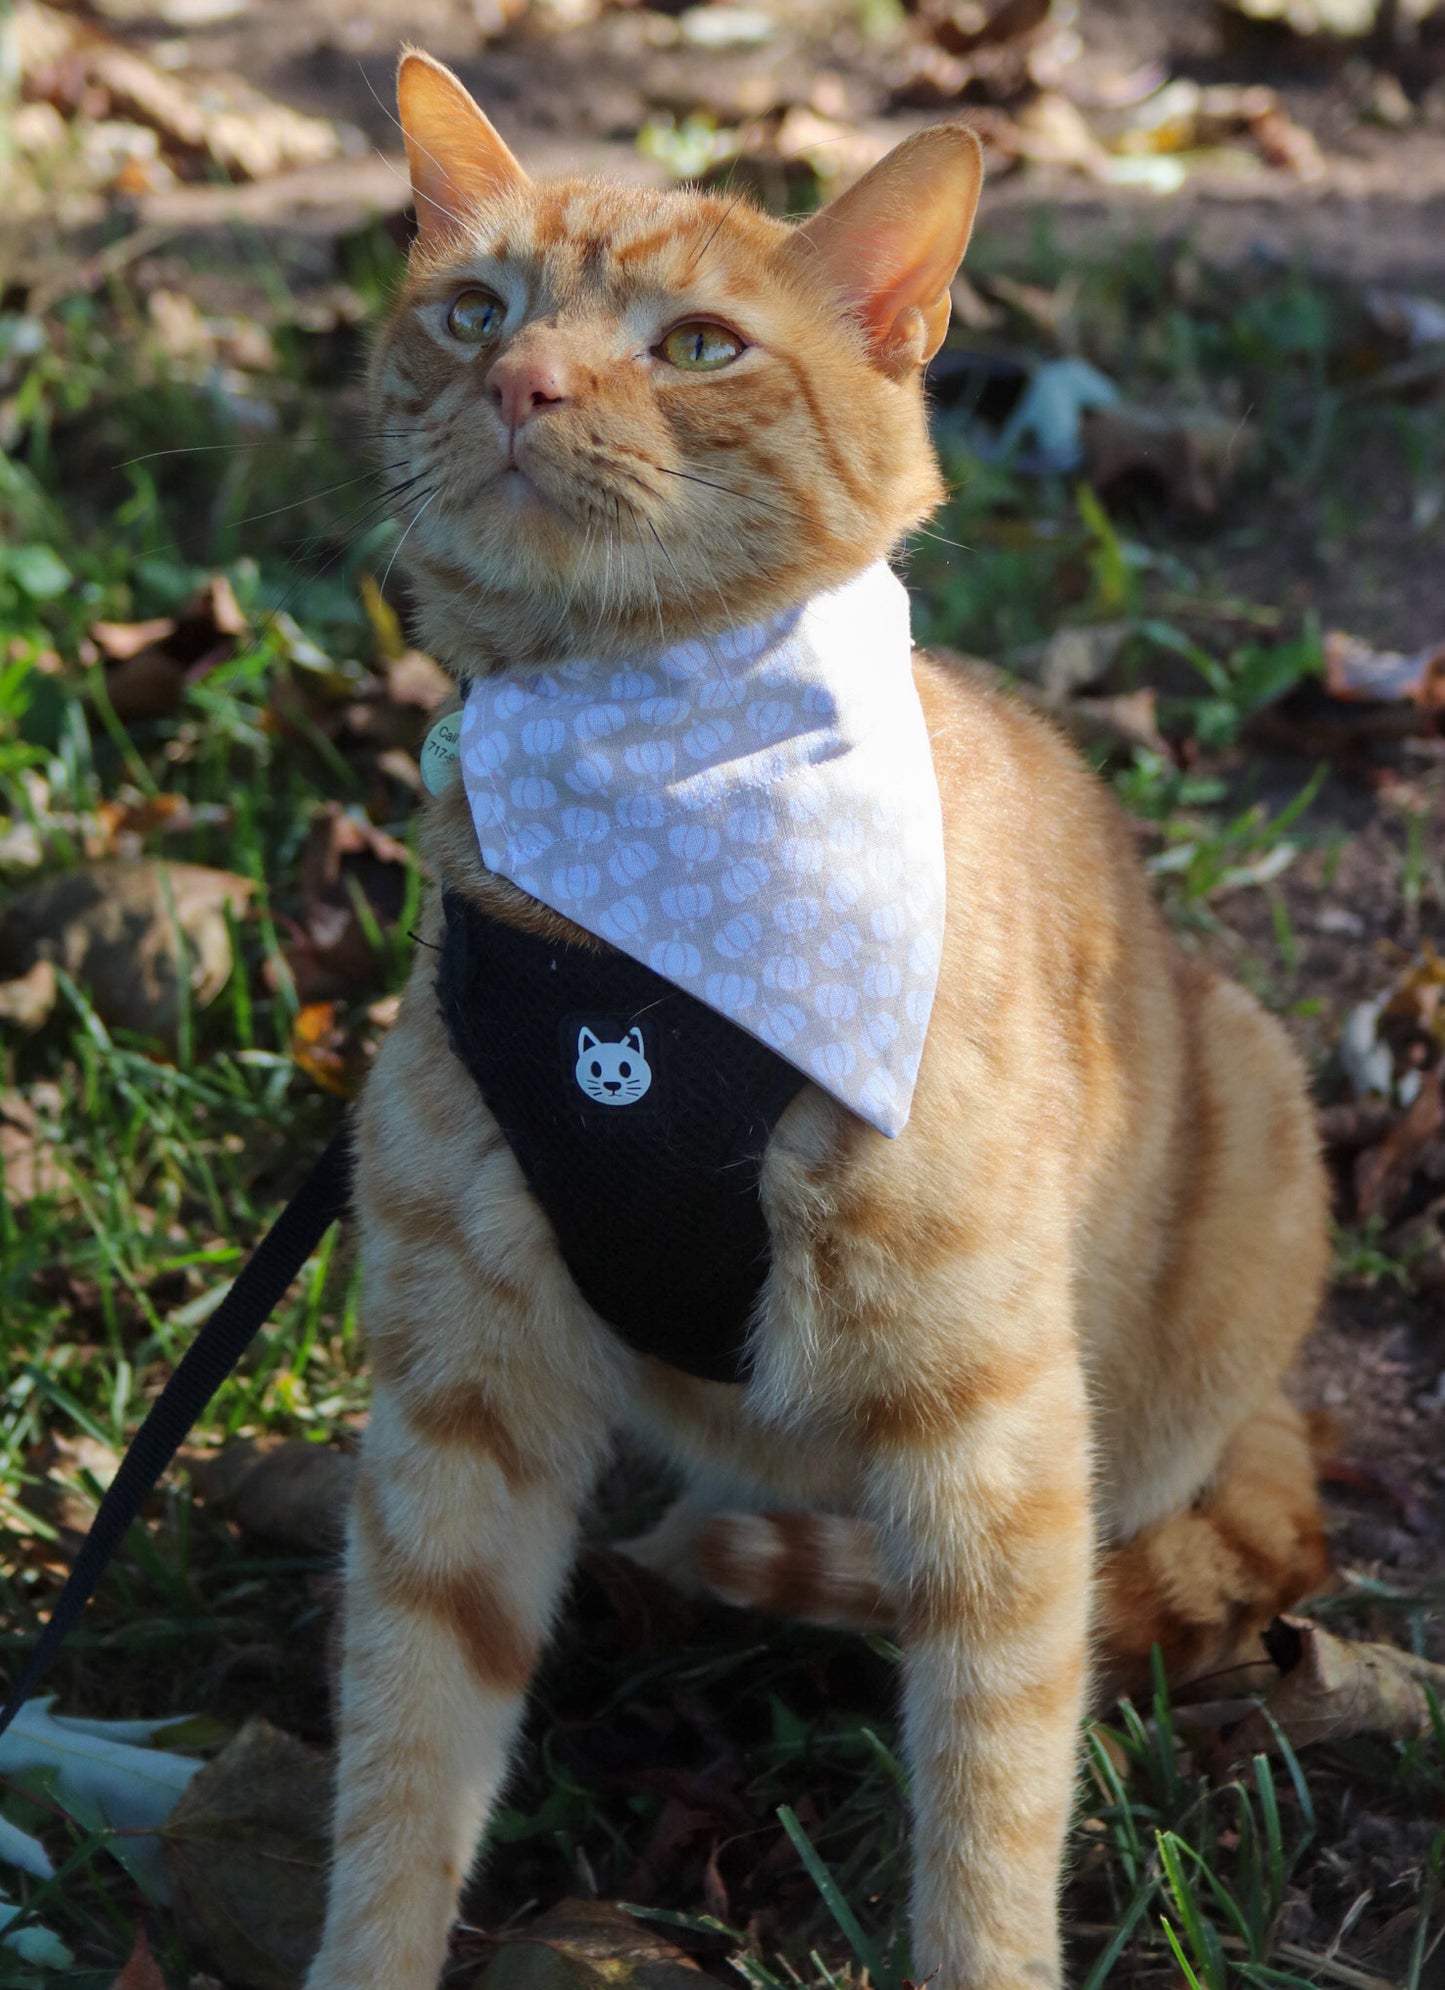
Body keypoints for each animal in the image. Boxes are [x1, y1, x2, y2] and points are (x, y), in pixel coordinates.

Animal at [306, 50, 1337, 1990]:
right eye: (474, 309)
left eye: (699, 346)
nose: (520, 381)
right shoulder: (465, 1396)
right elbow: (403, 1763)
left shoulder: (995, 1438)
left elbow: (991, 1818)